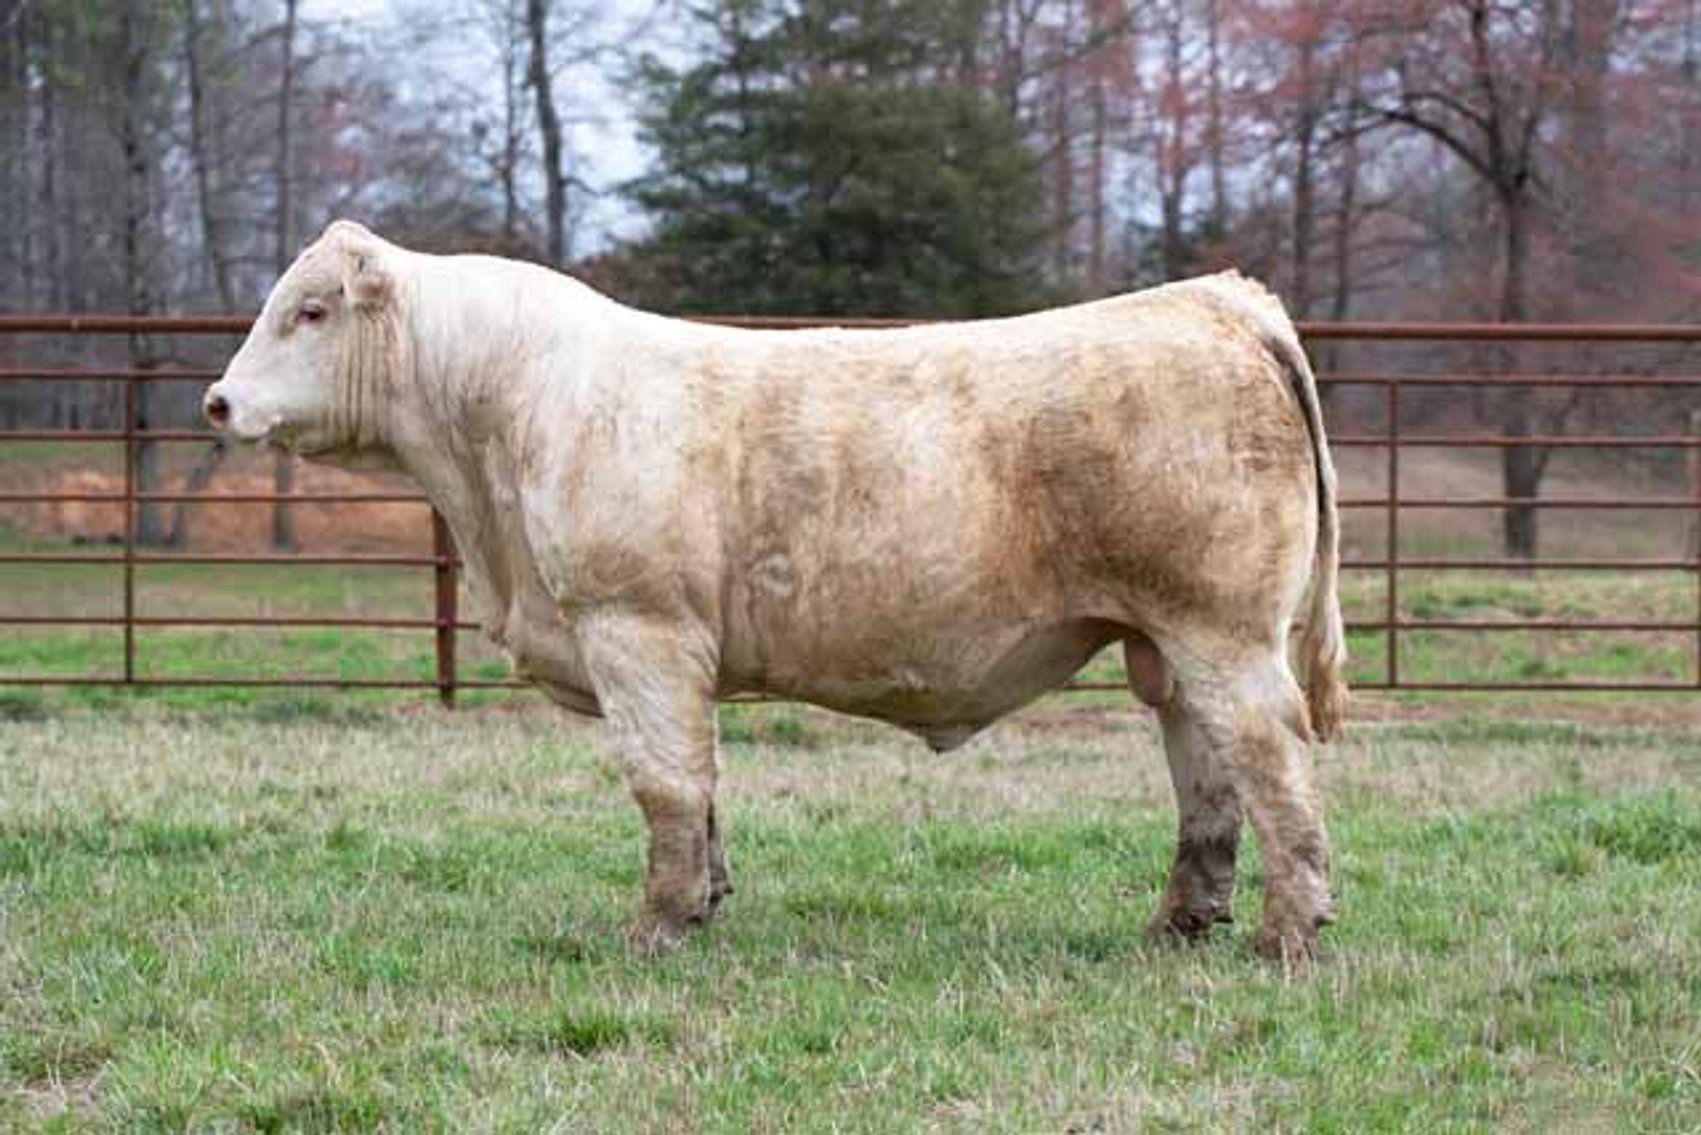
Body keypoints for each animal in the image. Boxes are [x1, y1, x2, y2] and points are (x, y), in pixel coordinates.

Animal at [204, 220, 1347, 961]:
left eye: (310, 309)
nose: (218, 399)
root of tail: (1216, 300)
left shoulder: (636, 629)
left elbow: (666, 784)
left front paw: (658, 926)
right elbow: (701, 787)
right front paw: (707, 900)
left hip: (1222, 629)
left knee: (1271, 757)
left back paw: (1289, 932)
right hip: (1169, 639)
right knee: (1207, 777)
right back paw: (1181, 922)